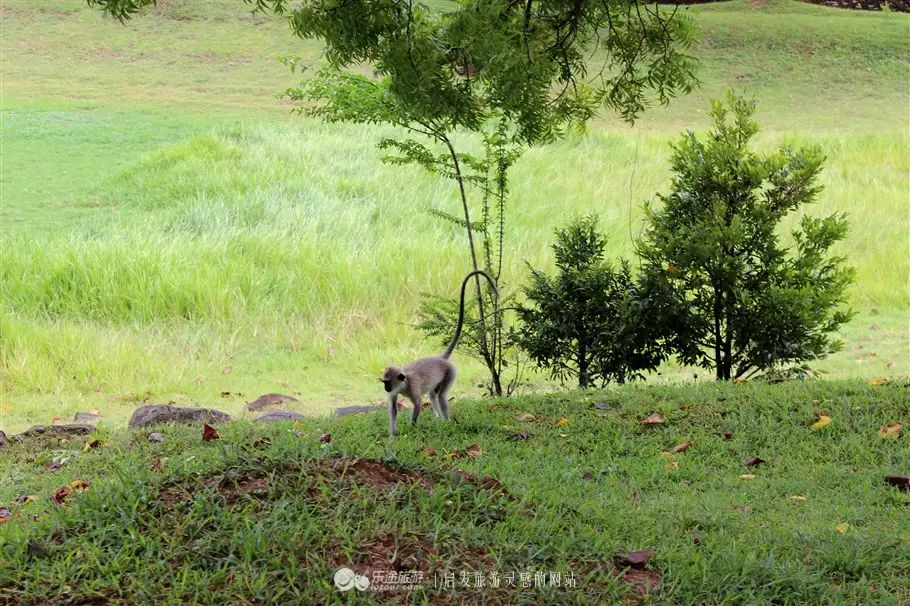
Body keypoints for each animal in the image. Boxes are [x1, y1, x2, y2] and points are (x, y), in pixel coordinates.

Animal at [382, 270, 502, 436]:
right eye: (384, 382)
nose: (385, 388)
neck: (404, 383)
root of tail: (441, 358)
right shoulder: (395, 392)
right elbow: (393, 409)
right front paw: (393, 436)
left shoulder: (413, 387)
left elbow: (418, 404)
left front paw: (413, 429)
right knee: (433, 395)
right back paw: (439, 419)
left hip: (450, 372)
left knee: (441, 396)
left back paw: (447, 422)